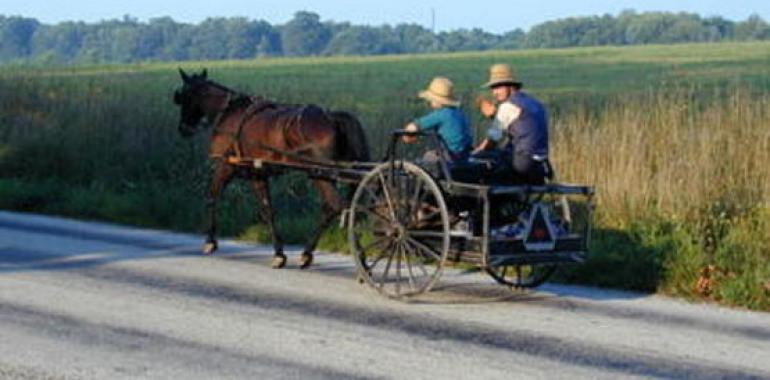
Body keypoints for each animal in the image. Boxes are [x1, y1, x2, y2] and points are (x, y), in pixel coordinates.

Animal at [173, 69, 368, 270]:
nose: (183, 128)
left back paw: (355, 256)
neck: (228, 113)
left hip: (320, 173)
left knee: (337, 205)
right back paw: (309, 254)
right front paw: (279, 254)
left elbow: (212, 196)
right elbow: (267, 210)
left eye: (183, 96)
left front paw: (210, 241)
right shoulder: (257, 174)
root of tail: (332, 117)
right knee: (337, 207)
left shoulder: (226, 165)